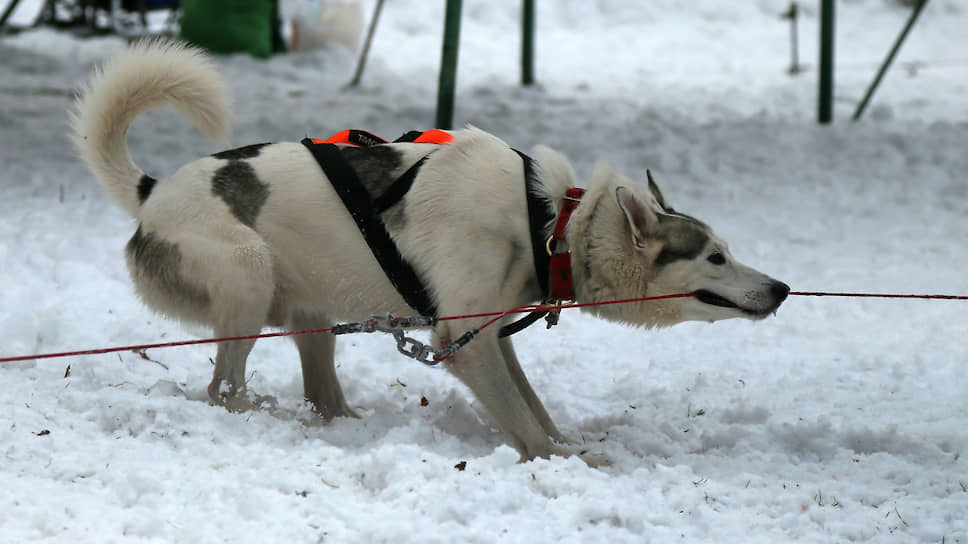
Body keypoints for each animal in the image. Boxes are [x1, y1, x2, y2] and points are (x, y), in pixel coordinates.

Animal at [73, 40, 788, 462]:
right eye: (715, 257)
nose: (781, 287)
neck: (547, 224)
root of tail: (154, 192)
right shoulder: (463, 340)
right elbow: (526, 427)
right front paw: (561, 461)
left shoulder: (490, 335)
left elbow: (535, 407)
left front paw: (570, 445)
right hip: (247, 277)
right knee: (224, 387)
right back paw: (257, 415)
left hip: (313, 313)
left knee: (319, 390)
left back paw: (338, 422)